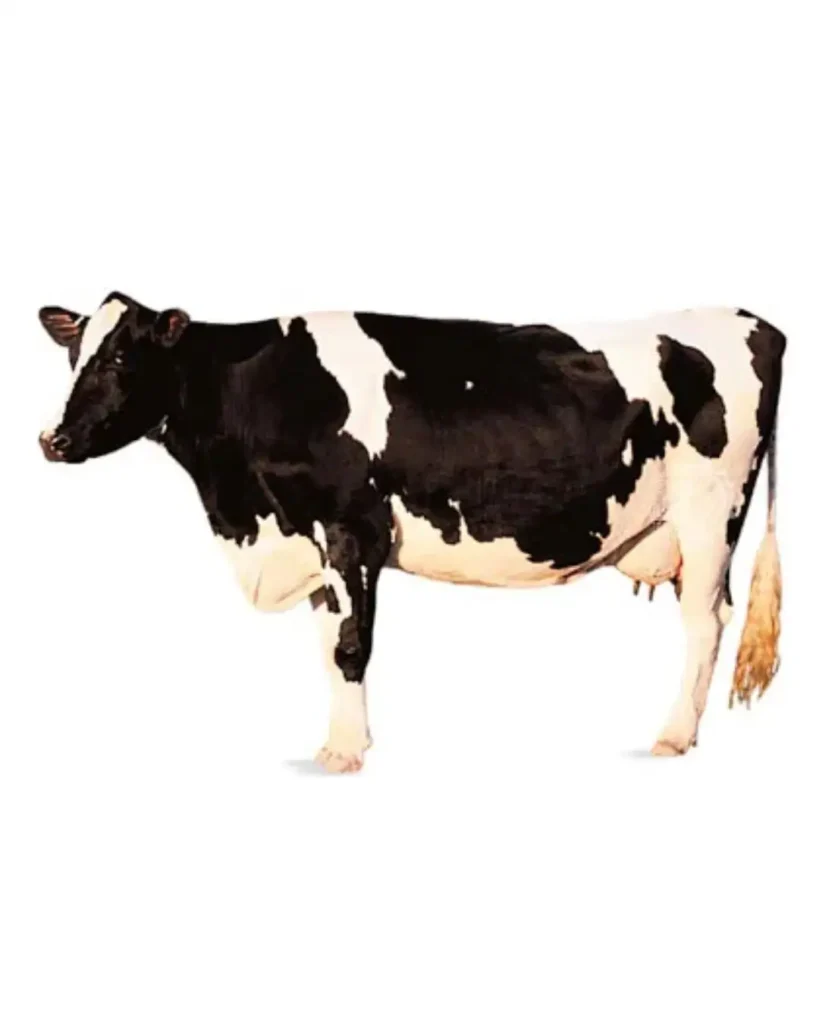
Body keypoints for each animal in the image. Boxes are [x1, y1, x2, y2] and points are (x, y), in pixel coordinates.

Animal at [38, 294, 785, 771]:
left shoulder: (351, 528)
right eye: (73, 355)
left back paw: (673, 736)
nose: (52, 439)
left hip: (709, 514)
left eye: (120, 359)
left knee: (705, 622)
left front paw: (344, 755)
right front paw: (340, 740)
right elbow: (327, 647)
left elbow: (350, 646)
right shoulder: (310, 544)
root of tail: (749, 320)